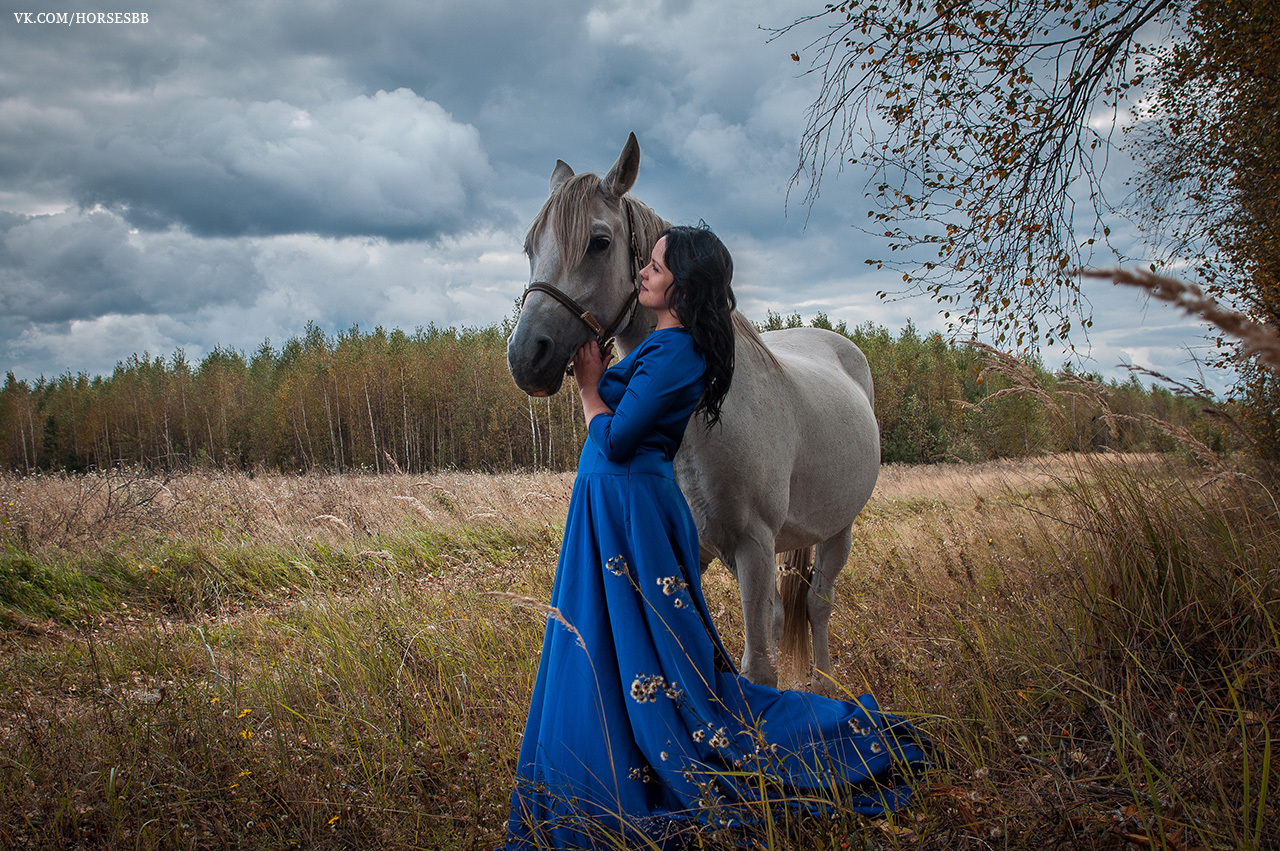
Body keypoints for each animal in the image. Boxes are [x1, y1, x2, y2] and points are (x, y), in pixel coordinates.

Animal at [506, 133, 880, 691]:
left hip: (838, 530)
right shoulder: (693, 552)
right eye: (531, 246)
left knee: (817, 604)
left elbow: (758, 663)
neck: (700, 421)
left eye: (599, 242)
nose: (527, 355)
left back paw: (827, 686)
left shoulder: (753, 548)